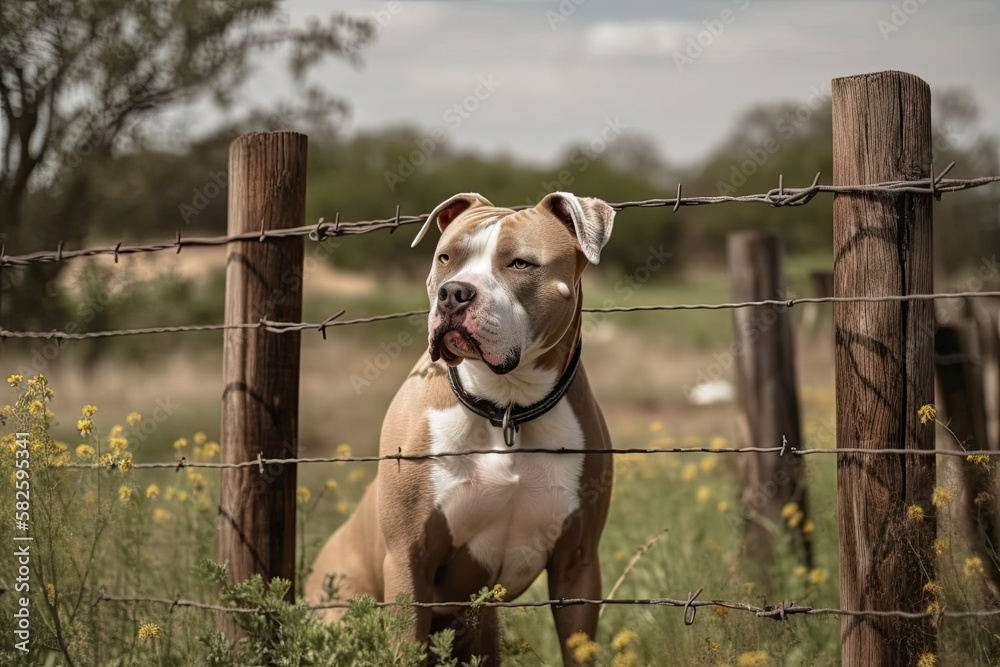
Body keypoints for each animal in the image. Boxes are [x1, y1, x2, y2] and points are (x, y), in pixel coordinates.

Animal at [306, 190, 616, 664]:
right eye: (446, 257)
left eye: (520, 263)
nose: (453, 293)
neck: (506, 405)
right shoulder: (408, 559)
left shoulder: (578, 565)